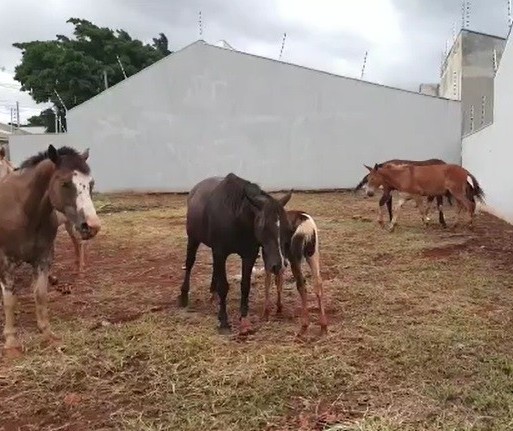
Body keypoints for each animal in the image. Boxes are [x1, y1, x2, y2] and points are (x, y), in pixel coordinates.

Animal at [0, 145, 100, 358]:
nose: (92, 226)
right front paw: (11, 342)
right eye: (64, 183)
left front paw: (47, 333)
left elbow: (40, 294)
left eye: (91, 183)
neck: (24, 212)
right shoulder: (5, 262)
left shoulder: (43, 258)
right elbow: (10, 300)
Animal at [179, 174, 292, 336]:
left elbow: (245, 285)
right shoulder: (220, 253)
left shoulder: (249, 255)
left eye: (288, 228)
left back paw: (213, 293)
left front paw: (244, 320)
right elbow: (224, 286)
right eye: (263, 227)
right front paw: (224, 321)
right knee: (189, 264)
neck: (236, 217)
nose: (279, 265)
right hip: (193, 238)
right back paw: (183, 296)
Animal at [262, 209, 326, 338]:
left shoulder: (269, 258)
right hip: (312, 254)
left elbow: (268, 282)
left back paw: (304, 327)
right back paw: (323, 326)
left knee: (301, 284)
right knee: (318, 282)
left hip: (295, 256)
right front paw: (279, 307)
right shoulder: (280, 261)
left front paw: (266, 313)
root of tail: (306, 222)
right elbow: (278, 281)